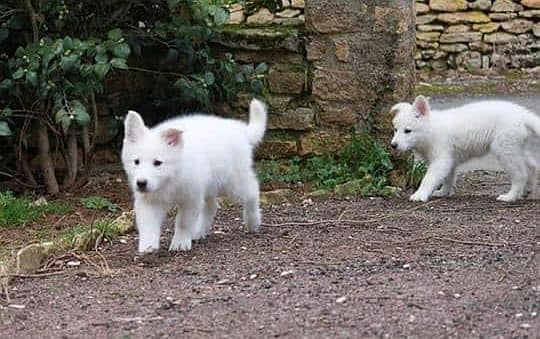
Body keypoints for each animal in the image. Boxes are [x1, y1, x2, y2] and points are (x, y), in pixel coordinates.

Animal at [121, 98, 266, 252]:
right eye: (136, 161)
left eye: (158, 163)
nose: (141, 183)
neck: (170, 179)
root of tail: (240, 130)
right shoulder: (149, 201)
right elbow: (148, 224)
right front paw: (148, 246)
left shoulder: (191, 198)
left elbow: (183, 222)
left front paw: (180, 243)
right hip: (210, 184)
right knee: (211, 206)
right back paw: (198, 231)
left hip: (233, 182)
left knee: (252, 192)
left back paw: (253, 221)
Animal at [390, 94, 536, 203]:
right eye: (396, 130)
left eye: (407, 131)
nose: (393, 145)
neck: (430, 130)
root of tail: (522, 115)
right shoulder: (449, 160)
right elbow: (447, 178)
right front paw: (444, 192)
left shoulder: (441, 160)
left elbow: (429, 179)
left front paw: (420, 195)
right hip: (517, 149)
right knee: (532, 167)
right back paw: (528, 191)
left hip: (505, 150)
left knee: (520, 175)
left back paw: (510, 196)